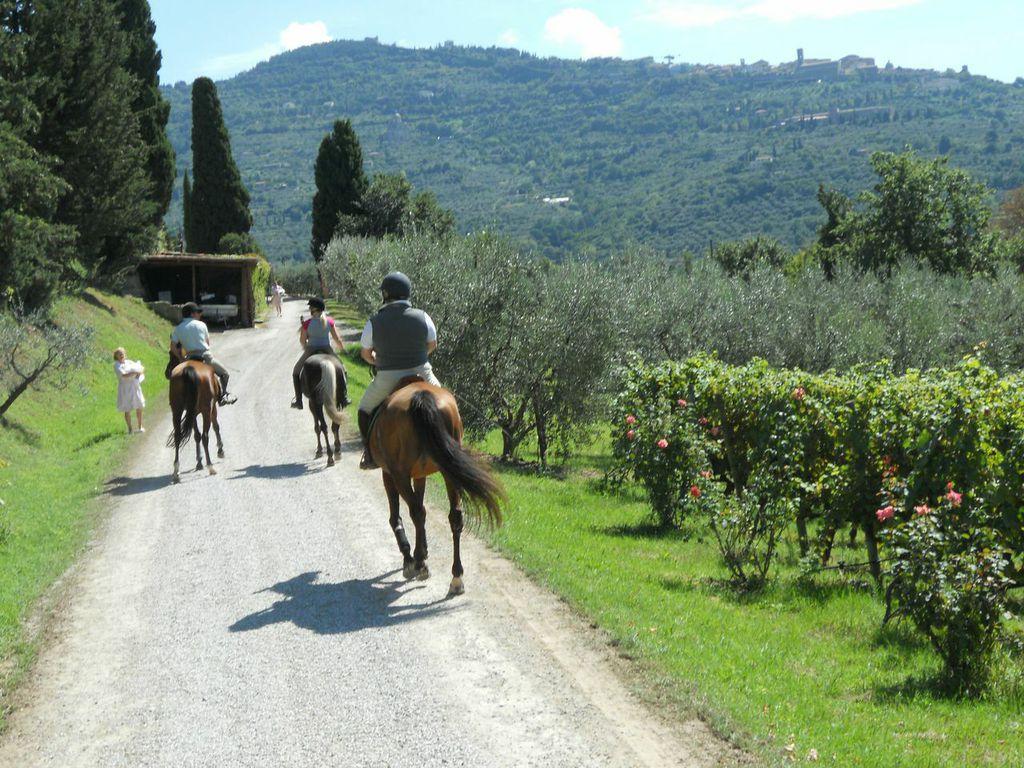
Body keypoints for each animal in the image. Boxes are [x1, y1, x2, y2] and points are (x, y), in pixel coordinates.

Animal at [165, 352, 224, 483]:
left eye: (171, 356)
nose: (166, 373)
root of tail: (188, 370)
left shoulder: (192, 413)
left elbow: (196, 435)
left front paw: (199, 461)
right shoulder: (212, 408)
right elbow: (216, 427)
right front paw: (220, 450)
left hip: (177, 410)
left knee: (178, 436)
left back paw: (176, 472)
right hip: (206, 410)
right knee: (205, 436)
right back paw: (210, 467)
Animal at [348, 382, 503, 598]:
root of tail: (421, 396)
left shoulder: (388, 474)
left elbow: (397, 517)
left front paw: (410, 558)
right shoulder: (420, 474)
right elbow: (421, 508)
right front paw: (423, 548)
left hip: (400, 475)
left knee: (416, 512)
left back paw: (419, 564)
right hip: (448, 470)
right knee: (453, 517)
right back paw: (455, 578)